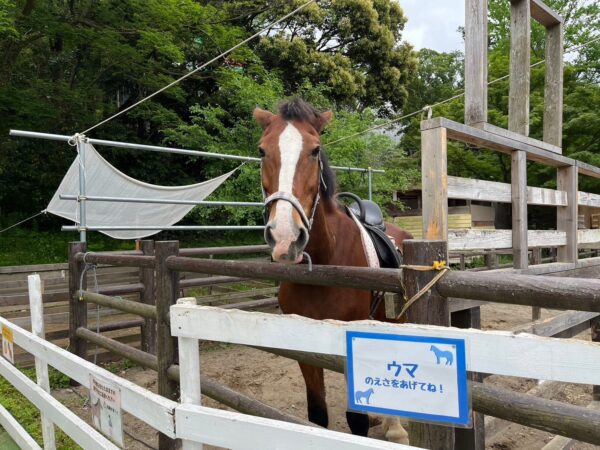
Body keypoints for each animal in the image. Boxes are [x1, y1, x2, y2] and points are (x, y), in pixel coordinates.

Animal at [253, 99, 412, 442]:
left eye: (315, 150)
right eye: (261, 150)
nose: (285, 237)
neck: (323, 267)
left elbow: (357, 420)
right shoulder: (304, 348)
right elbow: (317, 415)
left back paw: (395, 429)